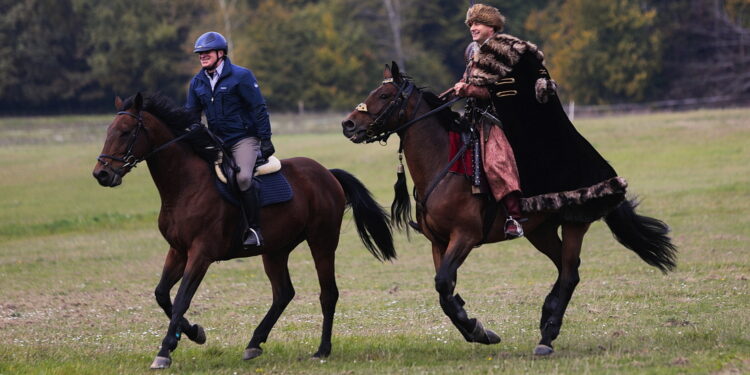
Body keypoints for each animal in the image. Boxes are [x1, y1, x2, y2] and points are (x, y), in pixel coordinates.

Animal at [92, 92, 396, 370]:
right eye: (108, 132)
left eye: (126, 132)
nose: (101, 174)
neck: (185, 186)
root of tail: (327, 173)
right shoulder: (178, 251)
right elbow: (162, 295)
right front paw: (194, 333)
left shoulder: (200, 254)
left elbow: (181, 299)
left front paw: (165, 350)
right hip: (275, 251)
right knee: (283, 293)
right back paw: (254, 343)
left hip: (322, 242)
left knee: (328, 293)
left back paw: (322, 350)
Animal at [344, 63, 680, 356]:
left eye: (385, 95)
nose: (348, 124)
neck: (445, 164)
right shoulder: (439, 242)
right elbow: (445, 291)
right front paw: (477, 329)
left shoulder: (465, 236)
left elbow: (443, 284)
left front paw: (477, 329)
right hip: (540, 231)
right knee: (565, 268)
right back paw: (546, 316)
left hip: (574, 223)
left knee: (570, 273)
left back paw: (547, 335)